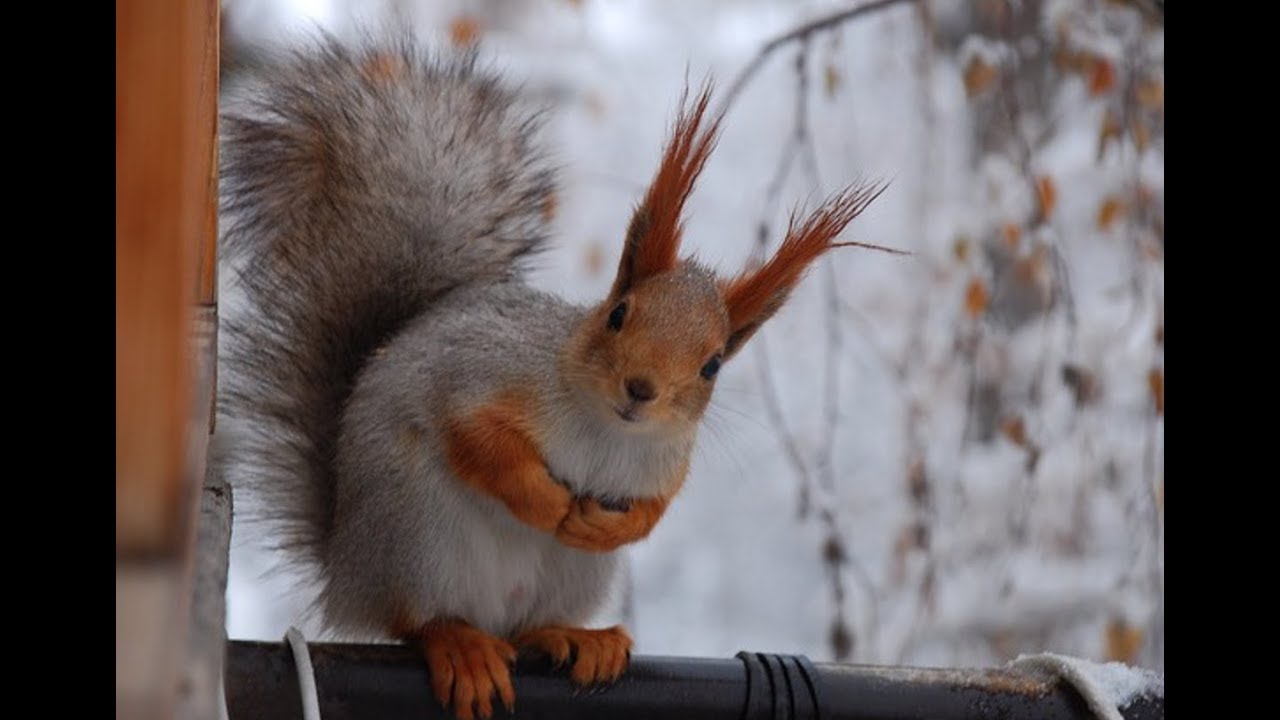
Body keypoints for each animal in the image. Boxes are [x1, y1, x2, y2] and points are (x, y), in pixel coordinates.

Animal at [217, 32, 880, 717]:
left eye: (712, 364)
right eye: (617, 314)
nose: (641, 390)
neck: (607, 428)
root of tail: (346, 572)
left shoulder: (667, 461)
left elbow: (656, 507)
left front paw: (606, 523)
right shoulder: (479, 378)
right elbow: (475, 439)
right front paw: (550, 502)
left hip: (570, 575)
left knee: (526, 626)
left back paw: (573, 636)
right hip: (415, 534)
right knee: (417, 618)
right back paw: (460, 643)